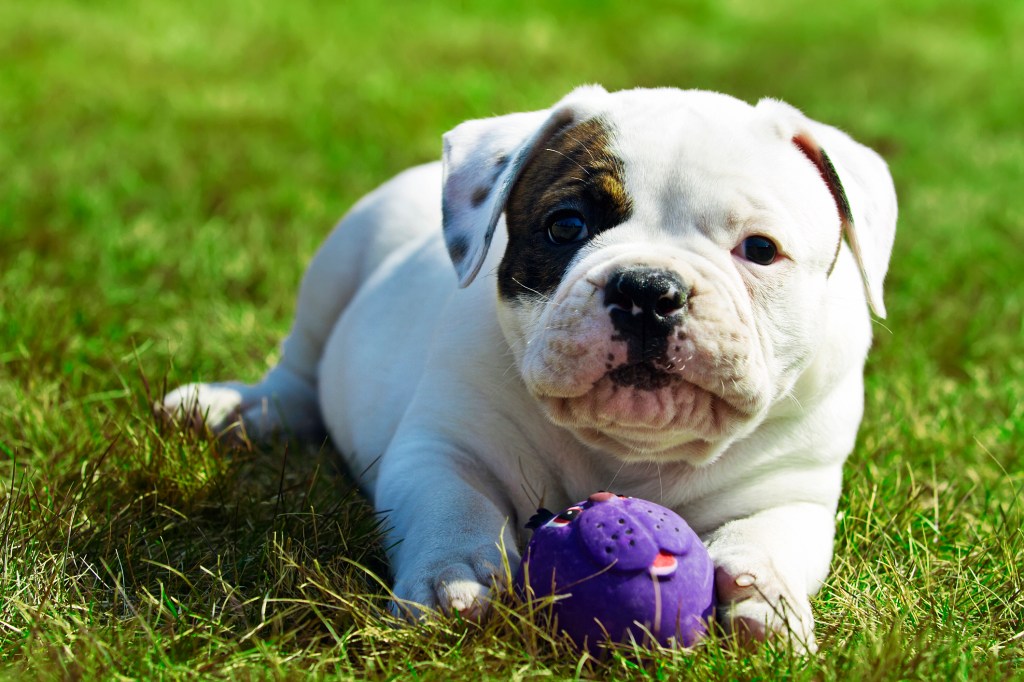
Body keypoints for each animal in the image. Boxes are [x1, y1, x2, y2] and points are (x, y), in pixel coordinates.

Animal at [161, 84, 897, 647]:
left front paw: (761, 597)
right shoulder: (442, 447)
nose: (647, 290)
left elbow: (768, 535)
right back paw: (235, 409)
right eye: (566, 226)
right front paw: (453, 578)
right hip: (337, 263)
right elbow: (454, 503)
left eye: (760, 249)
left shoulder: (792, 489)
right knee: (298, 371)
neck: (627, 450)